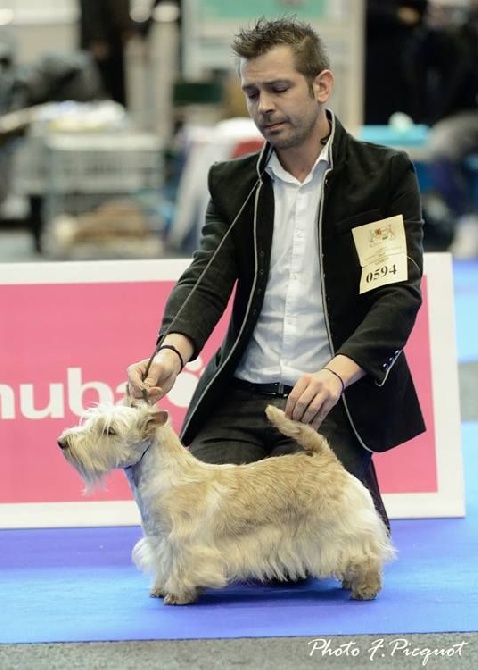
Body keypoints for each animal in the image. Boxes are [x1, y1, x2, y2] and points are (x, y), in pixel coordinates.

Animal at [58, 402, 396, 608]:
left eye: (109, 430)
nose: (63, 442)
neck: (163, 477)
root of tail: (326, 459)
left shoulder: (185, 544)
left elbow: (184, 568)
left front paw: (178, 595)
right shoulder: (159, 541)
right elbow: (163, 565)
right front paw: (161, 587)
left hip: (339, 527)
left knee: (365, 555)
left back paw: (365, 588)